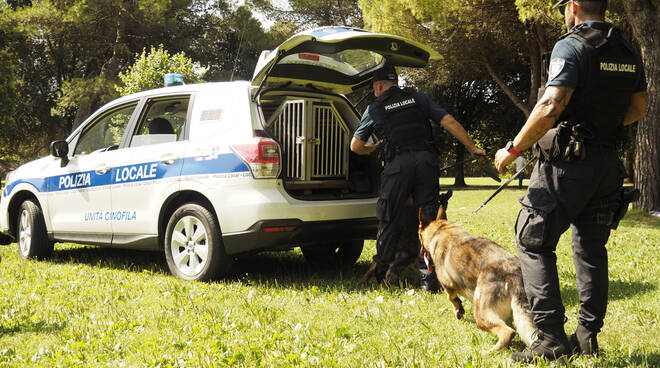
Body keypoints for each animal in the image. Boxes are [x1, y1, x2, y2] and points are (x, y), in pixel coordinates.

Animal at [420, 191, 540, 352]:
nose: (420, 253)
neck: (442, 230)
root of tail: (512, 273)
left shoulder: (448, 285)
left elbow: (451, 298)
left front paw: (458, 309)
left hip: (480, 313)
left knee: (508, 332)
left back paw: (490, 352)